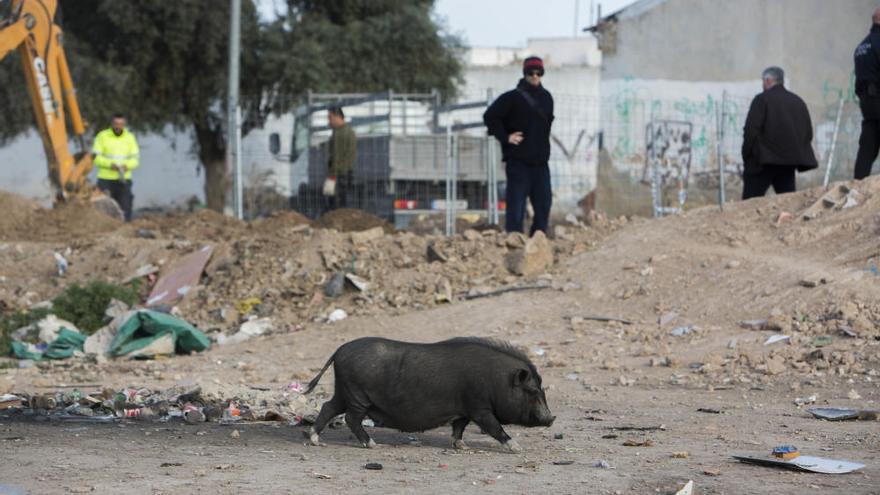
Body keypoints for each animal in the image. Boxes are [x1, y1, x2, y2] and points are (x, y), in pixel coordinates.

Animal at [300, 338, 552, 454]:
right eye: (532, 391)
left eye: (542, 389)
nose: (551, 418)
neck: (497, 381)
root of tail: (338, 351)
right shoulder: (480, 408)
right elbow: (495, 427)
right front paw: (518, 448)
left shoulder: (464, 410)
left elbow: (458, 427)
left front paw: (461, 447)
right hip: (357, 395)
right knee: (351, 418)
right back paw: (373, 445)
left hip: (344, 392)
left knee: (327, 407)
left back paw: (314, 440)